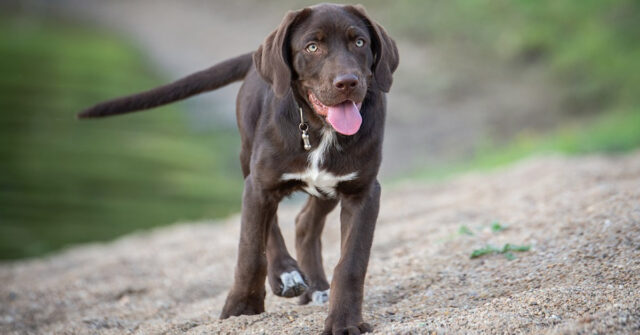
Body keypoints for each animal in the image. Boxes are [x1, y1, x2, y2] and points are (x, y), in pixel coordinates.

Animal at [78, 3, 398, 335]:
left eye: (359, 42)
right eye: (312, 46)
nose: (348, 82)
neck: (318, 129)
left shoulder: (362, 192)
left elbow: (351, 262)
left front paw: (344, 320)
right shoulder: (260, 184)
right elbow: (250, 251)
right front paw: (242, 307)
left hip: (324, 189)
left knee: (304, 223)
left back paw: (317, 287)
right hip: (250, 159)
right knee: (272, 225)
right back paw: (286, 273)